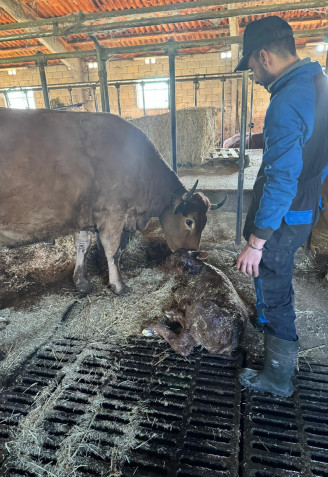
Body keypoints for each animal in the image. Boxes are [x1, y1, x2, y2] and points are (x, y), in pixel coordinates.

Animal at [0, 109, 226, 294]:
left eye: (204, 223)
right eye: (189, 221)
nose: (195, 254)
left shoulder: (85, 214)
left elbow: (82, 245)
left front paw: (81, 281)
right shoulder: (112, 214)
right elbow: (113, 250)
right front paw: (118, 284)